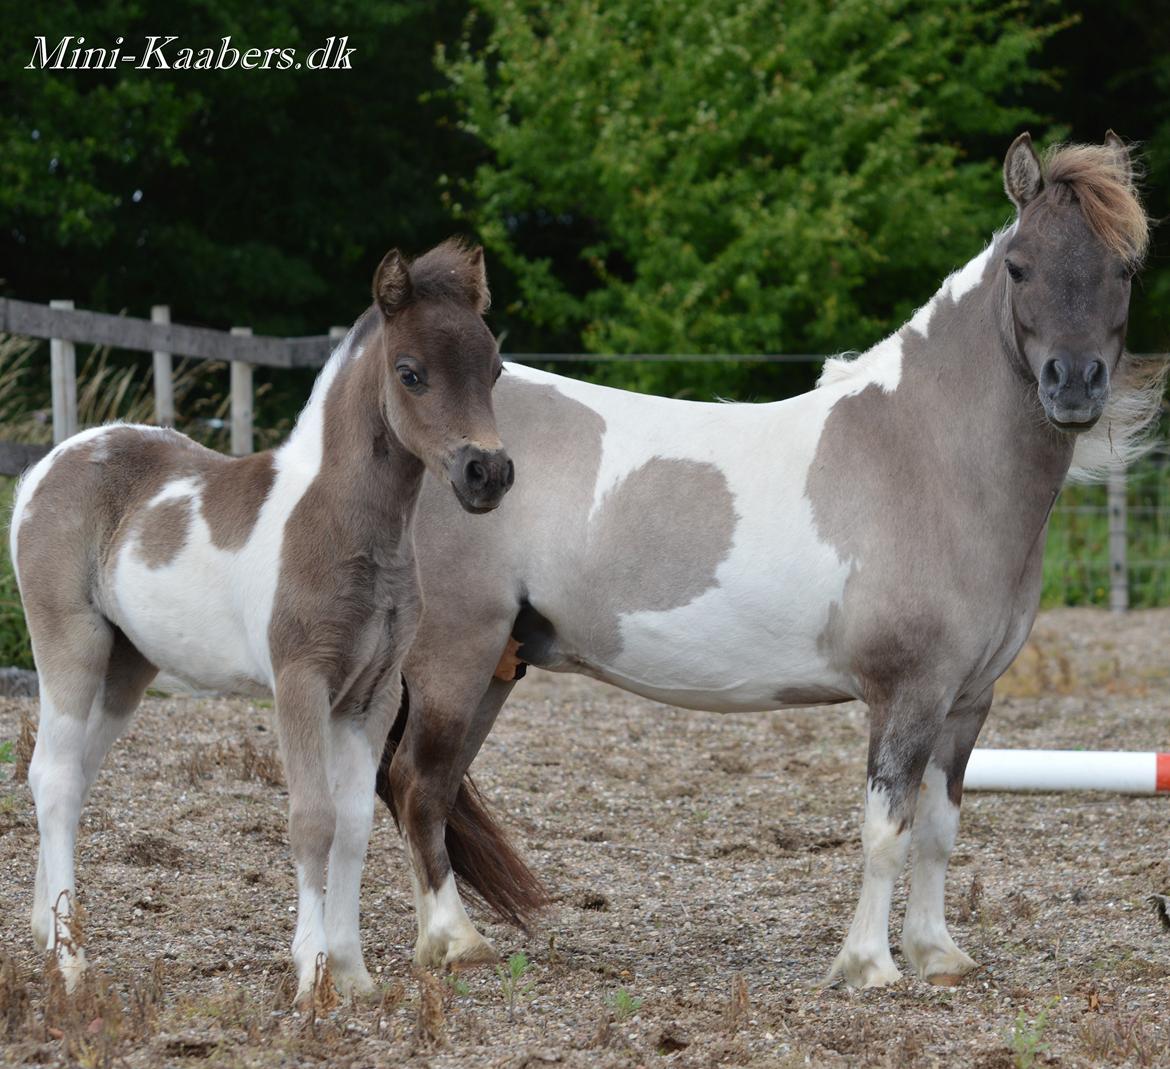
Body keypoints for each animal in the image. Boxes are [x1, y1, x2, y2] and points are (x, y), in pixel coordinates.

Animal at [9, 235, 512, 1001]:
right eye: (411, 373)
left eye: (495, 368)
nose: (488, 472)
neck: (344, 526)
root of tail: (49, 465)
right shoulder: (299, 681)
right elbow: (313, 820)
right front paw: (312, 978)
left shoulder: (371, 695)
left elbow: (356, 823)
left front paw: (354, 974)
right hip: (71, 644)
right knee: (57, 779)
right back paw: (70, 963)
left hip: (127, 667)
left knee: (67, 774)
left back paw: (46, 932)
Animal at [381, 137, 1160, 987]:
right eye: (1019, 266)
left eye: (1126, 268)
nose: (1074, 385)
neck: (926, 456)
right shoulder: (909, 694)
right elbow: (885, 829)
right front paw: (870, 964)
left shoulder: (966, 701)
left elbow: (938, 829)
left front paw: (936, 953)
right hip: (454, 654)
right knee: (419, 785)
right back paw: (451, 940)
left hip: (497, 663)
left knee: (420, 786)